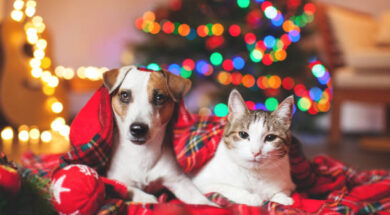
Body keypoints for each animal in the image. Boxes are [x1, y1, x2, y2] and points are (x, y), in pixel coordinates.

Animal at [102, 65, 215, 205]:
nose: (138, 129)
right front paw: (147, 198)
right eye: (125, 95)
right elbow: (128, 188)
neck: (141, 153)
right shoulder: (116, 179)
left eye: (159, 97)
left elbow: (201, 200)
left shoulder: (179, 180)